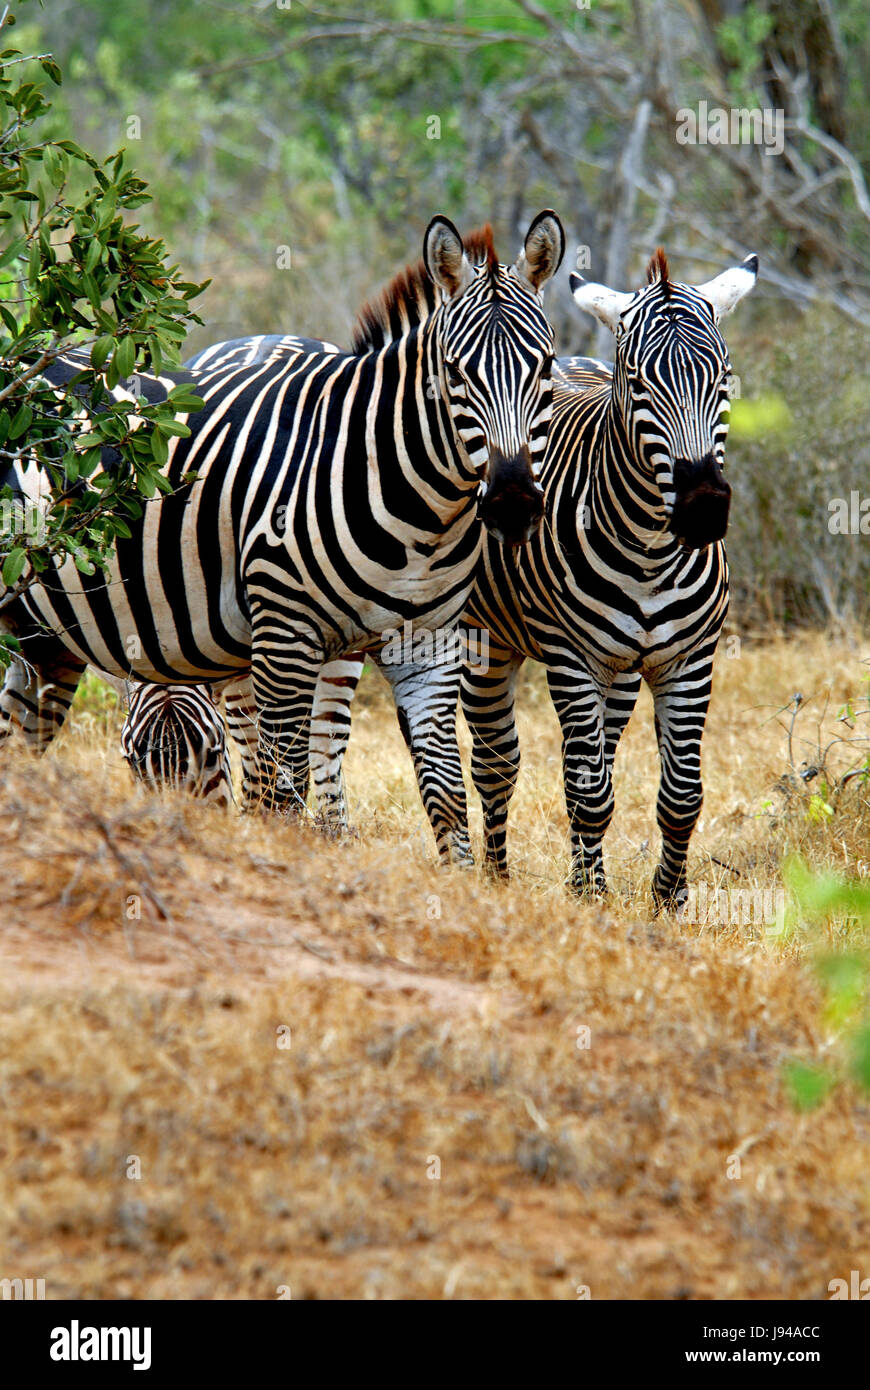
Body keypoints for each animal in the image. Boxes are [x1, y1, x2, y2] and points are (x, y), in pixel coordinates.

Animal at [0, 212, 565, 844]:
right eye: (453, 370)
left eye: (546, 365)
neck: (420, 518)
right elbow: (281, 791)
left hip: (40, 635)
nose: (513, 505)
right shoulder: (282, 637)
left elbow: (444, 794)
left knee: (20, 739)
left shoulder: (428, 646)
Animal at [258, 248, 758, 909]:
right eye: (636, 382)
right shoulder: (570, 657)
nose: (702, 511)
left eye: (723, 376)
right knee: (495, 765)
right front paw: (588, 899)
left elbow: (680, 795)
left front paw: (666, 903)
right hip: (486, 647)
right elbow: (586, 792)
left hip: (619, 670)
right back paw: (494, 874)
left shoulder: (691, 659)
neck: (652, 554)